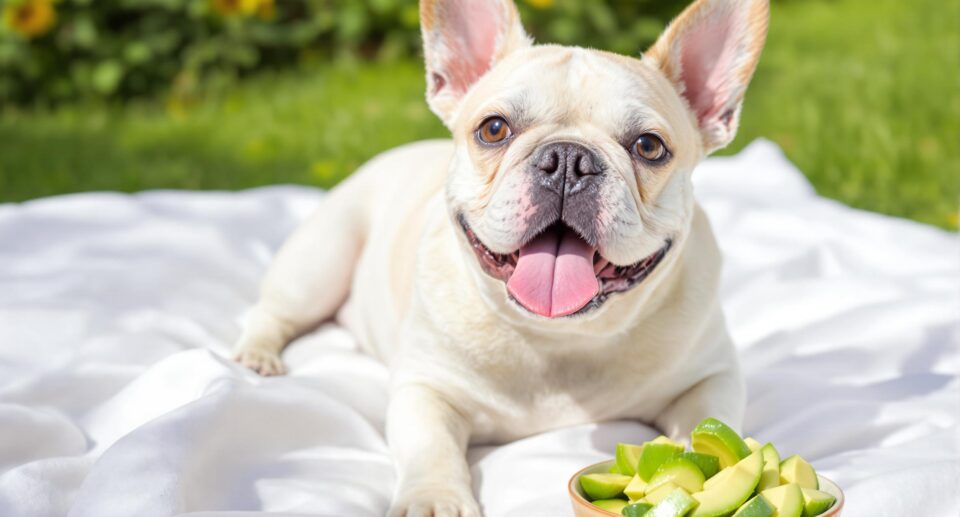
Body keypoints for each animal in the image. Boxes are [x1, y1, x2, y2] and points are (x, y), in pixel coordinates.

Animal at [236, 1, 768, 512]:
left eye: (649, 146)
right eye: (493, 129)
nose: (569, 158)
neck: (559, 340)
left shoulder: (712, 377)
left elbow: (709, 426)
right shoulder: (424, 389)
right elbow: (431, 448)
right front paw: (435, 500)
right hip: (321, 259)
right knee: (273, 312)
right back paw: (256, 356)